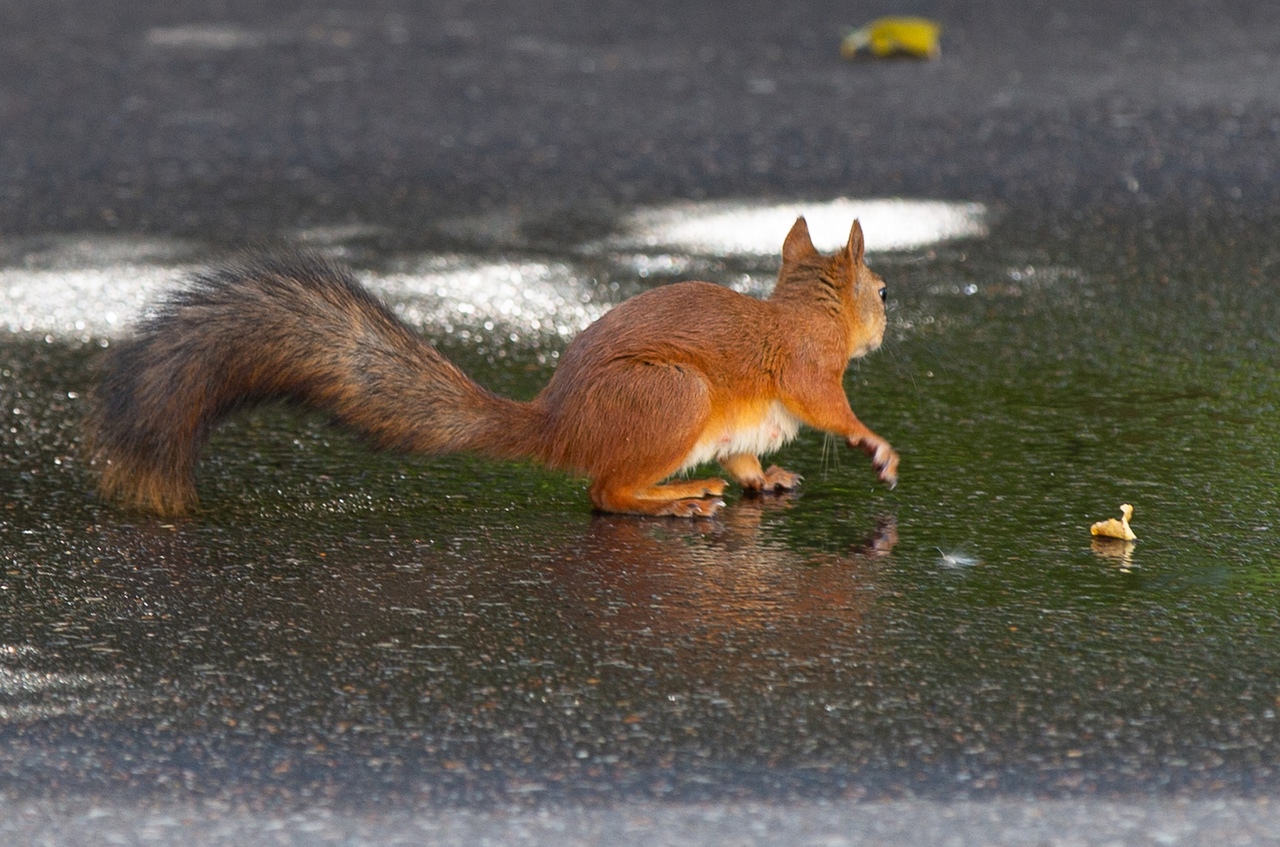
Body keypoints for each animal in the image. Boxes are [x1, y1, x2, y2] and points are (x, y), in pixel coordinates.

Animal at [87, 216, 901, 516]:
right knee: (607, 492)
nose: (890, 323)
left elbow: (745, 458)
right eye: (884, 291)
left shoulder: (743, 427)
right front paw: (875, 444)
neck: (805, 310)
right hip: (671, 397)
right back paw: (677, 497)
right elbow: (829, 407)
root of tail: (560, 426)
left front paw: (768, 477)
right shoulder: (806, 368)